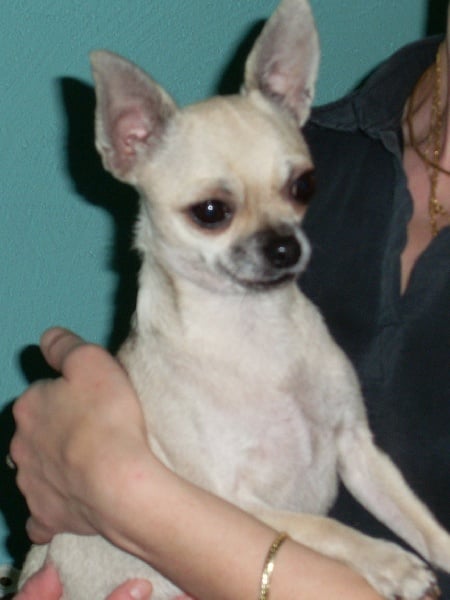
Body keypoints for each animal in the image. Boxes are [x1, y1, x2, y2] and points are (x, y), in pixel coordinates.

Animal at [19, 0, 450, 598]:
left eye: (304, 186)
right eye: (210, 212)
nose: (284, 245)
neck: (253, 326)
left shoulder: (358, 451)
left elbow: (422, 523)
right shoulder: (235, 501)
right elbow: (330, 529)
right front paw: (390, 563)